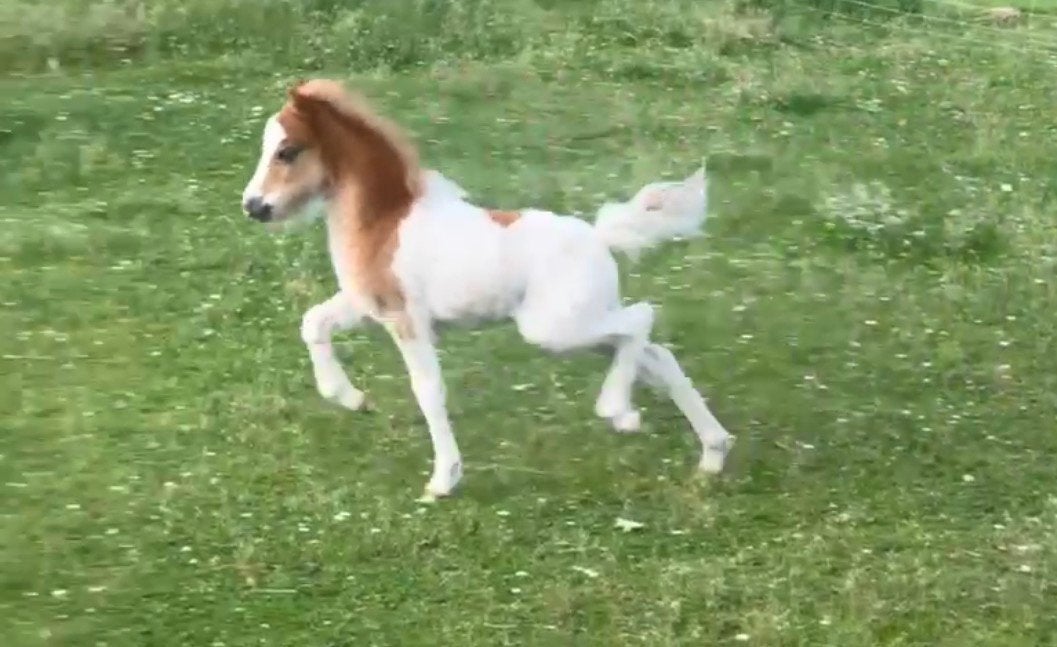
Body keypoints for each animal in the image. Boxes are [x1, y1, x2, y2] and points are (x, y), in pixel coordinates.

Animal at [240, 78, 733, 499]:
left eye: (286, 151)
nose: (253, 206)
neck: (384, 222)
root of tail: (599, 238)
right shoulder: (368, 305)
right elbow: (313, 324)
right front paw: (351, 398)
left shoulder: (407, 320)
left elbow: (428, 389)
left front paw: (444, 479)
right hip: (584, 324)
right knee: (656, 353)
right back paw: (712, 453)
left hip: (553, 329)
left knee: (642, 318)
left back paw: (619, 411)